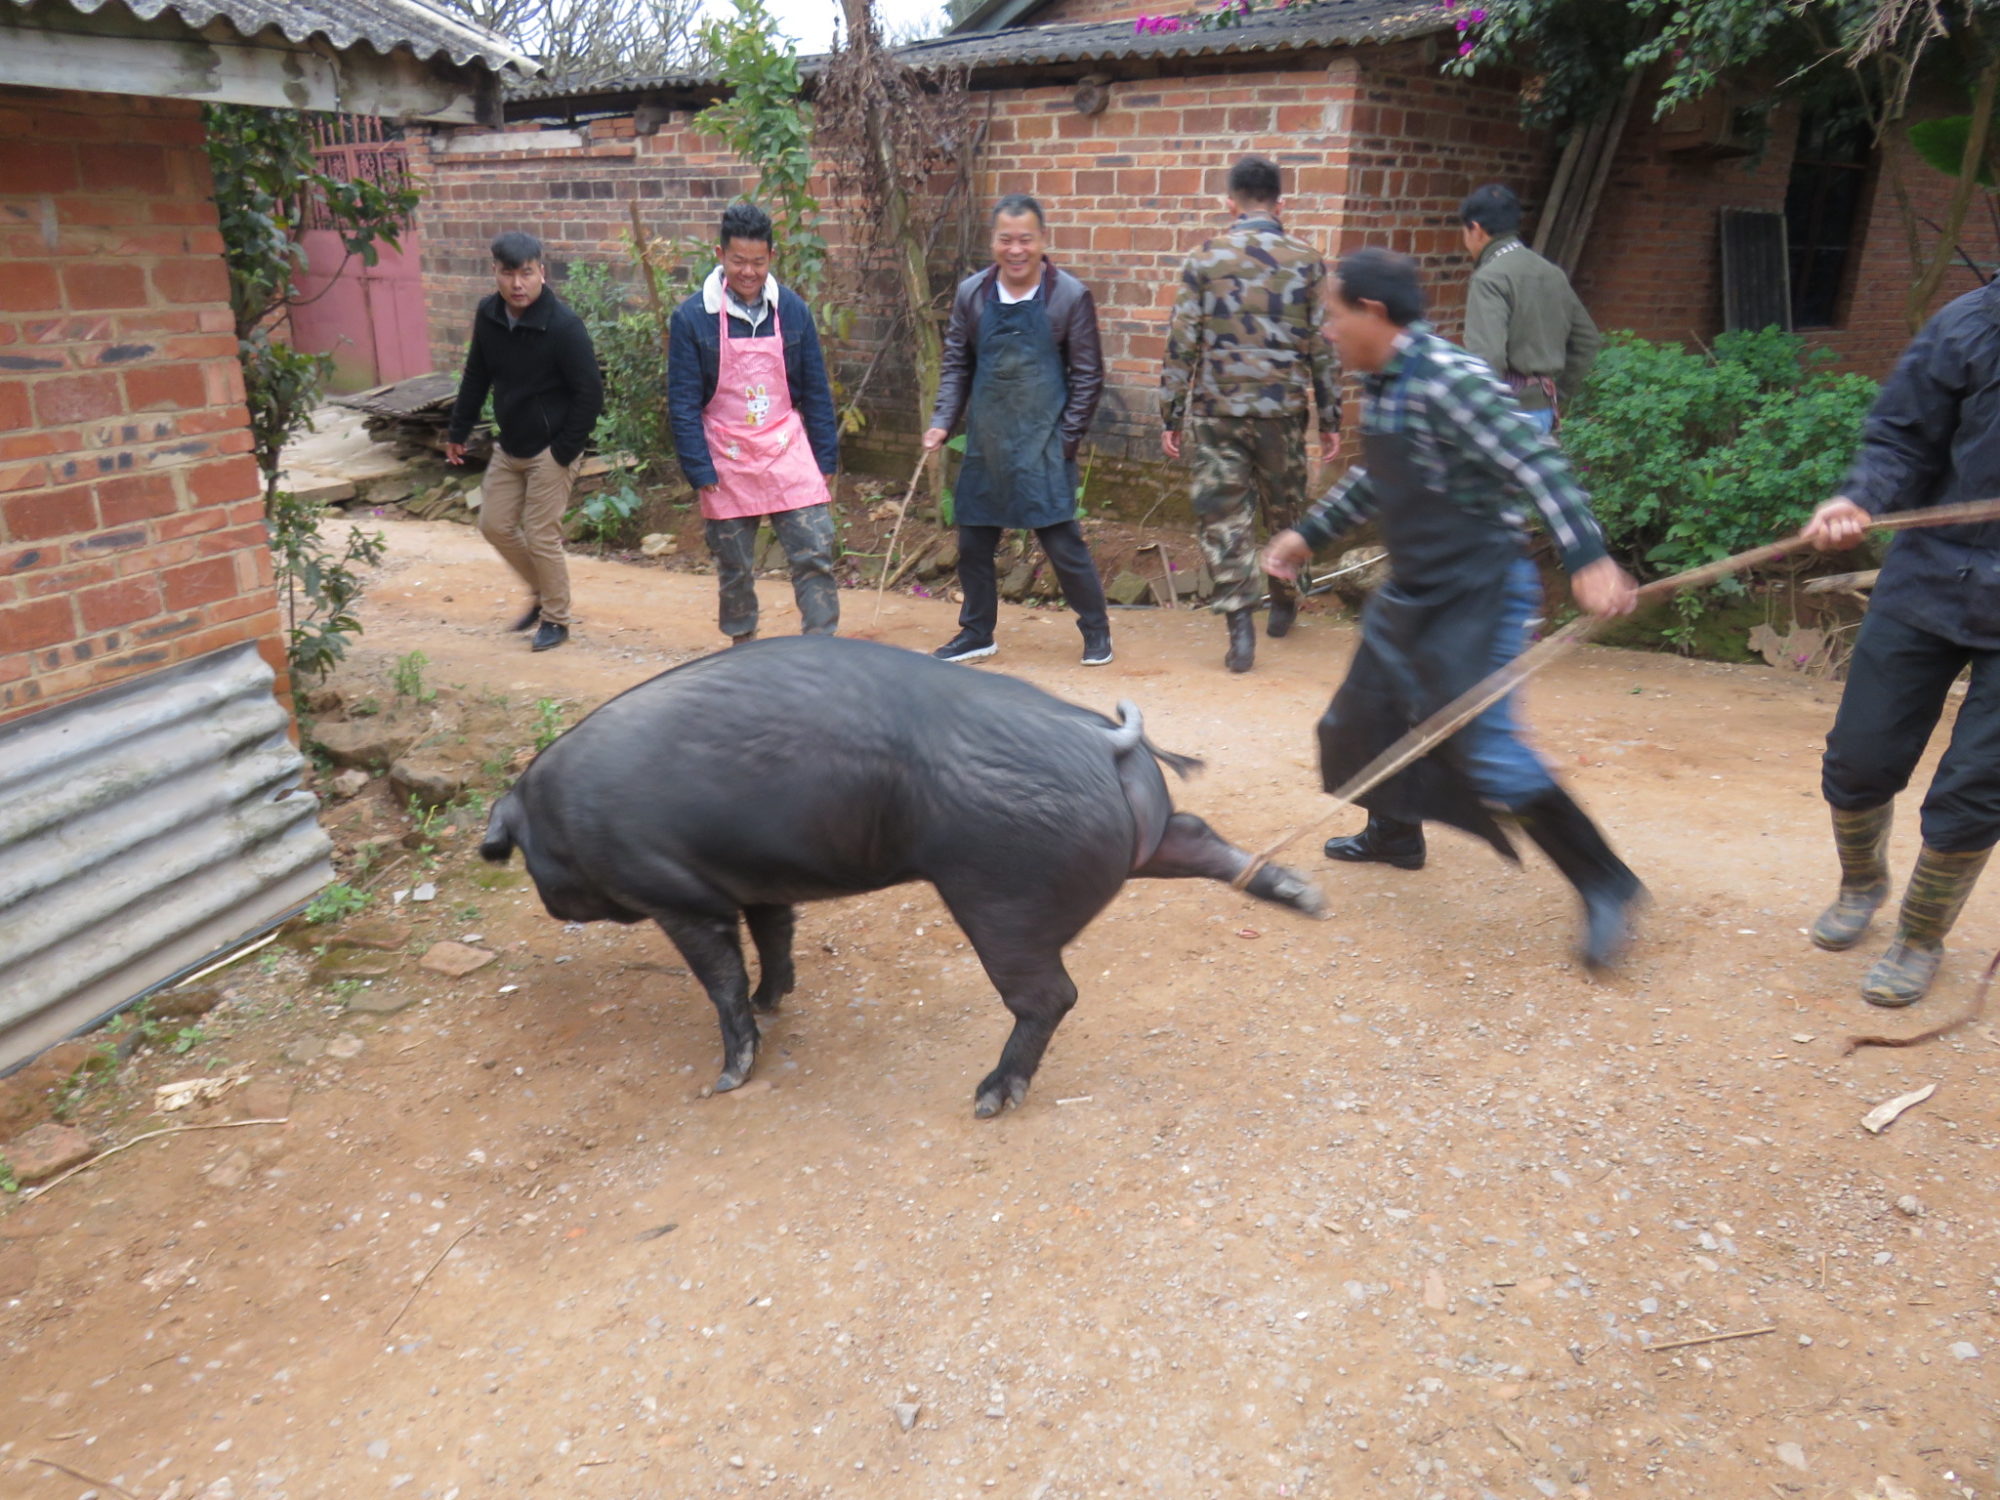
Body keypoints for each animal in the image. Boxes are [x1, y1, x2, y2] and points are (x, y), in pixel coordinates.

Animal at [480, 636, 1328, 1120]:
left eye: (523, 852)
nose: (552, 904)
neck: (566, 810)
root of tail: (1103, 739)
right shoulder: (762, 882)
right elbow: (775, 939)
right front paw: (776, 1001)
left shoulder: (676, 896)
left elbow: (720, 979)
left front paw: (726, 1080)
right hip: (1143, 840)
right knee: (1200, 839)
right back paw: (1306, 897)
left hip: (1001, 897)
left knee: (1053, 995)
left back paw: (988, 1099)